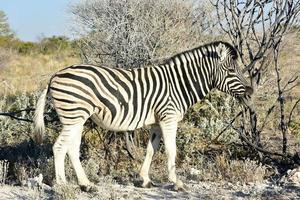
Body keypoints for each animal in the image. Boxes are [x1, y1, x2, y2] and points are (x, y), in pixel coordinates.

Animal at [33, 40, 253, 191]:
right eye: (231, 70)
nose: (251, 91)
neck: (179, 84)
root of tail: (55, 75)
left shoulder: (157, 122)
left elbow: (151, 150)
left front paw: (145, 179)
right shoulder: (169, 118)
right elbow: (171, 150)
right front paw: (177, 182)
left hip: (77, 119)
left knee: (70, 148)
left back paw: (85, 184)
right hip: (73, 116)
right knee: (60, 147)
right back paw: (63, 185)